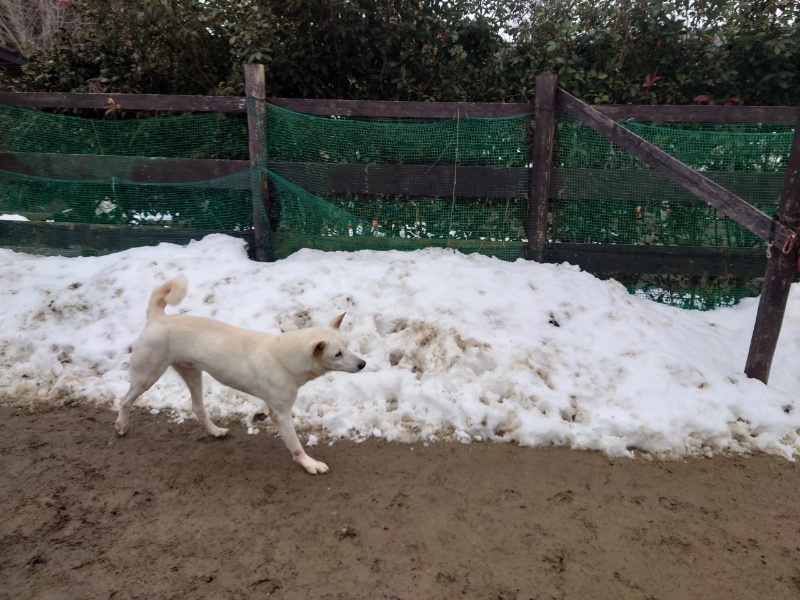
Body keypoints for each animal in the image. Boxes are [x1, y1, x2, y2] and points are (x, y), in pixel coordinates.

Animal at [115, 276, 366, 474]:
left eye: (347, 346)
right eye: (337, 354)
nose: (363, 364)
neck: (284, 358)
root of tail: (158, 317)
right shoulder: (281, 414)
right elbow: (296, 446)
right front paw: (309, 463)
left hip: (193, 373)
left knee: (198, 408)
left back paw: (215, 431)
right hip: (147, 374)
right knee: (125, 400)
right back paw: (121, 426)